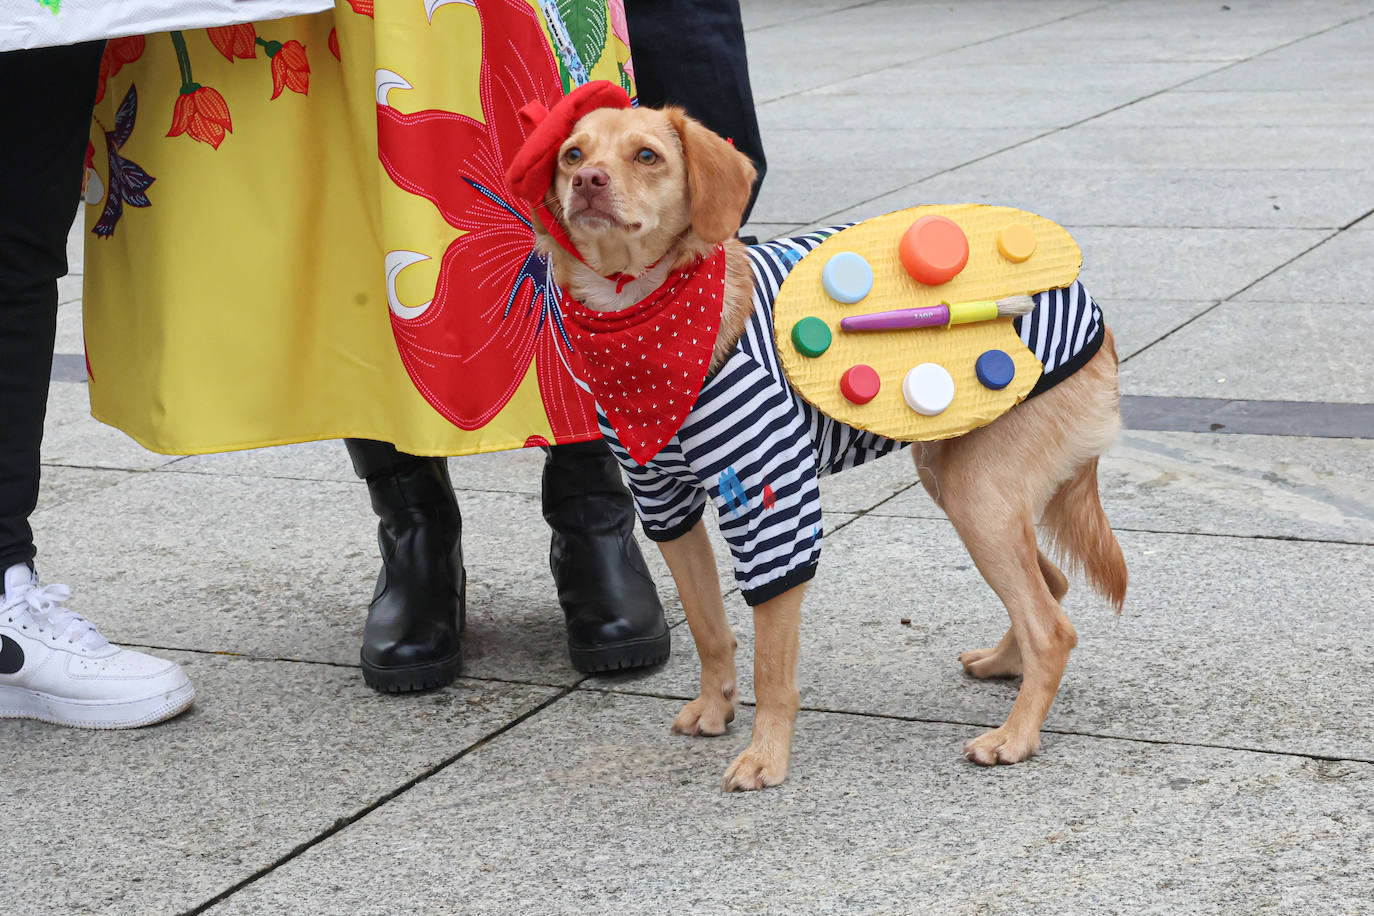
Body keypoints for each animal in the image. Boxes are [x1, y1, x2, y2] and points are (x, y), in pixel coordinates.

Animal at [513, 94, 1126, 796]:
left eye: (647, 155)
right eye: (571, 155)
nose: (588, 182)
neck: (643, 323)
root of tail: (1091, 307)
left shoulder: (772, 508)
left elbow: (771, 665)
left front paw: (765, 755)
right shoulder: (666, 509)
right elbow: (709, 628)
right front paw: (715, 706)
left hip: (978, 497)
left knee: (1052, 627)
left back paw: (1017, 736)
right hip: (961, 484)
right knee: (1049, 583)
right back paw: (1004, 664)